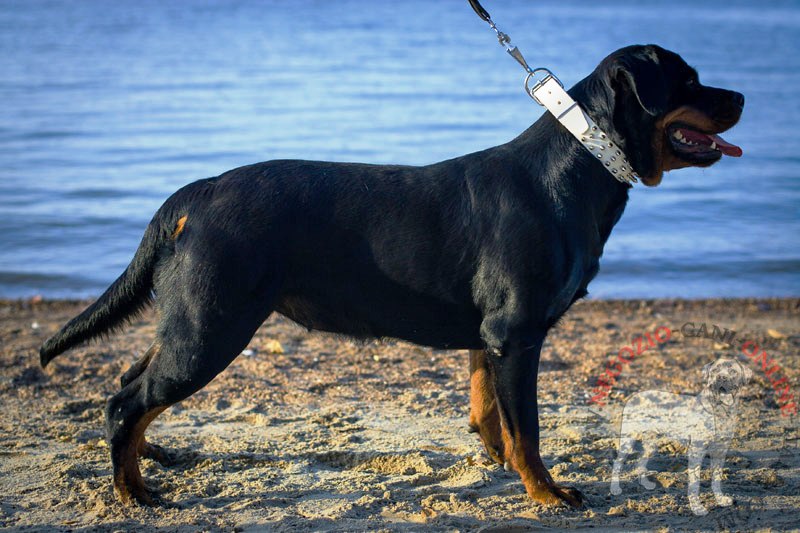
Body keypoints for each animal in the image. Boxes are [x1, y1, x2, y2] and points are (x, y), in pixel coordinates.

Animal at [39, 44, 744, 502]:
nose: (741, 94)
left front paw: (497, 463)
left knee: (133, 385)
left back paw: (154, 458)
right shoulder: (517, 335)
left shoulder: (490, 337)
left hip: (192, 318)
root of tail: (196, 192)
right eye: (688, 81)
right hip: (211, 327)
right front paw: (546, 494)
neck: (579, 163)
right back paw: (134, 493)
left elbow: (490, 413)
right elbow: (529, 428)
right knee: (125, 401)